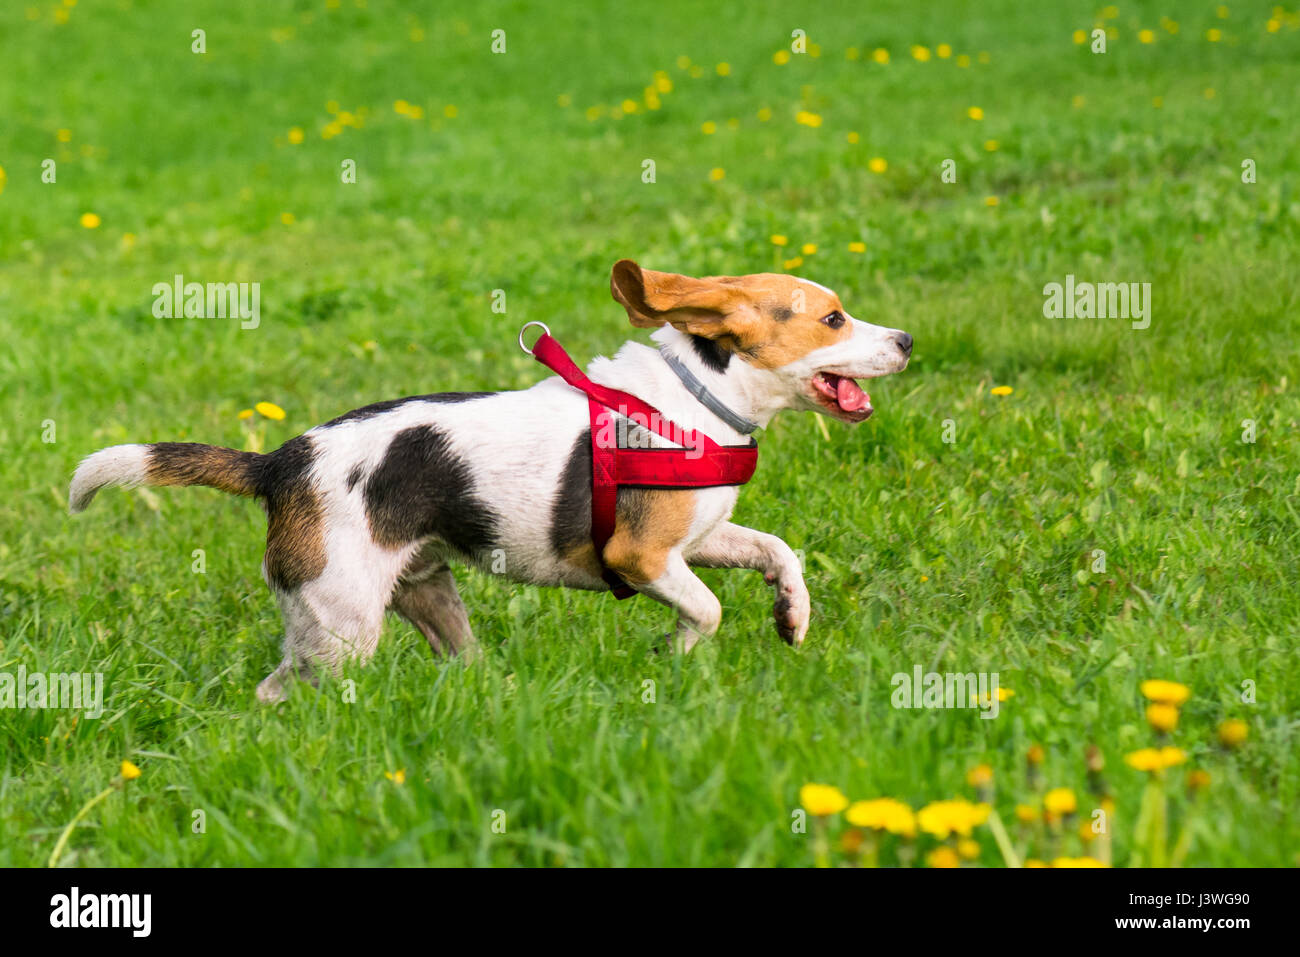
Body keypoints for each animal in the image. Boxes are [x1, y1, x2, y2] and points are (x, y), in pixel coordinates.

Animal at [65, 257, 909, 696]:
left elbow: (777, 550)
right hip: (340, 626)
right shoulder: (643, 556)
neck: (699, 395)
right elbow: (706, 609)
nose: (905, 339)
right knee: (284, 691)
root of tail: (281, 461)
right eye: (833, 318)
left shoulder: (696, 538)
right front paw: (674, 656)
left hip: (427, 594)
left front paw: (792, 615)